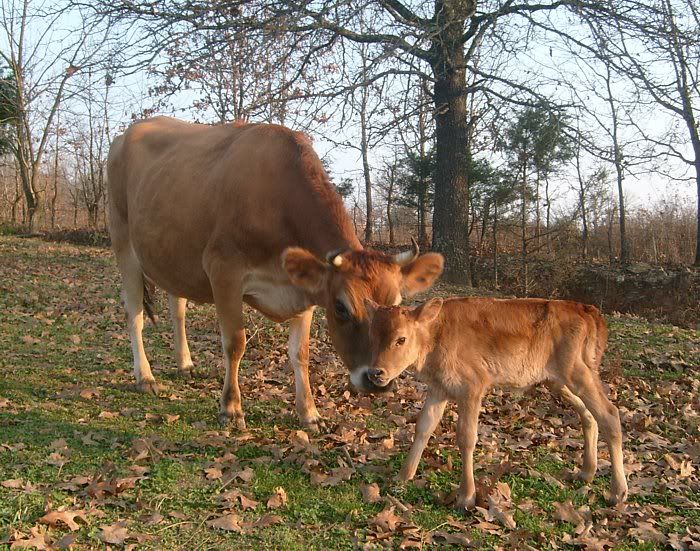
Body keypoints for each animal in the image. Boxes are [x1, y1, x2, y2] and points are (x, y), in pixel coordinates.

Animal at [106, 116, 444, 432]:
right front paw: (231, 409)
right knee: (134, 314)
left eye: (397, 305)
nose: (377, 379)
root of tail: (126, 133)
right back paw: (145, 377)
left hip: (172, 255)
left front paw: (309, 413)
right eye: (341, 307)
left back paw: (185, 363)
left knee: (177, 306)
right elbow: (235, 343)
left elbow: (300, 353)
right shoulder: (223, 271)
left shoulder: (302, 290)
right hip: (123, 241)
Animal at [364, 296, 628, 509]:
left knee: (610, 414)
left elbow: (466, 437)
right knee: (589, 415)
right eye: (372, 336)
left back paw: (618, 492)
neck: (437, 335)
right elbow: (423, 427)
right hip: (557, 381)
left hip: (578, 373)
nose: (375, 372)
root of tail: (587, 310)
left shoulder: (472, 386)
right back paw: (586, 473)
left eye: (401, 339)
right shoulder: (439, 388)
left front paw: (466, 496)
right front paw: (403, 476)